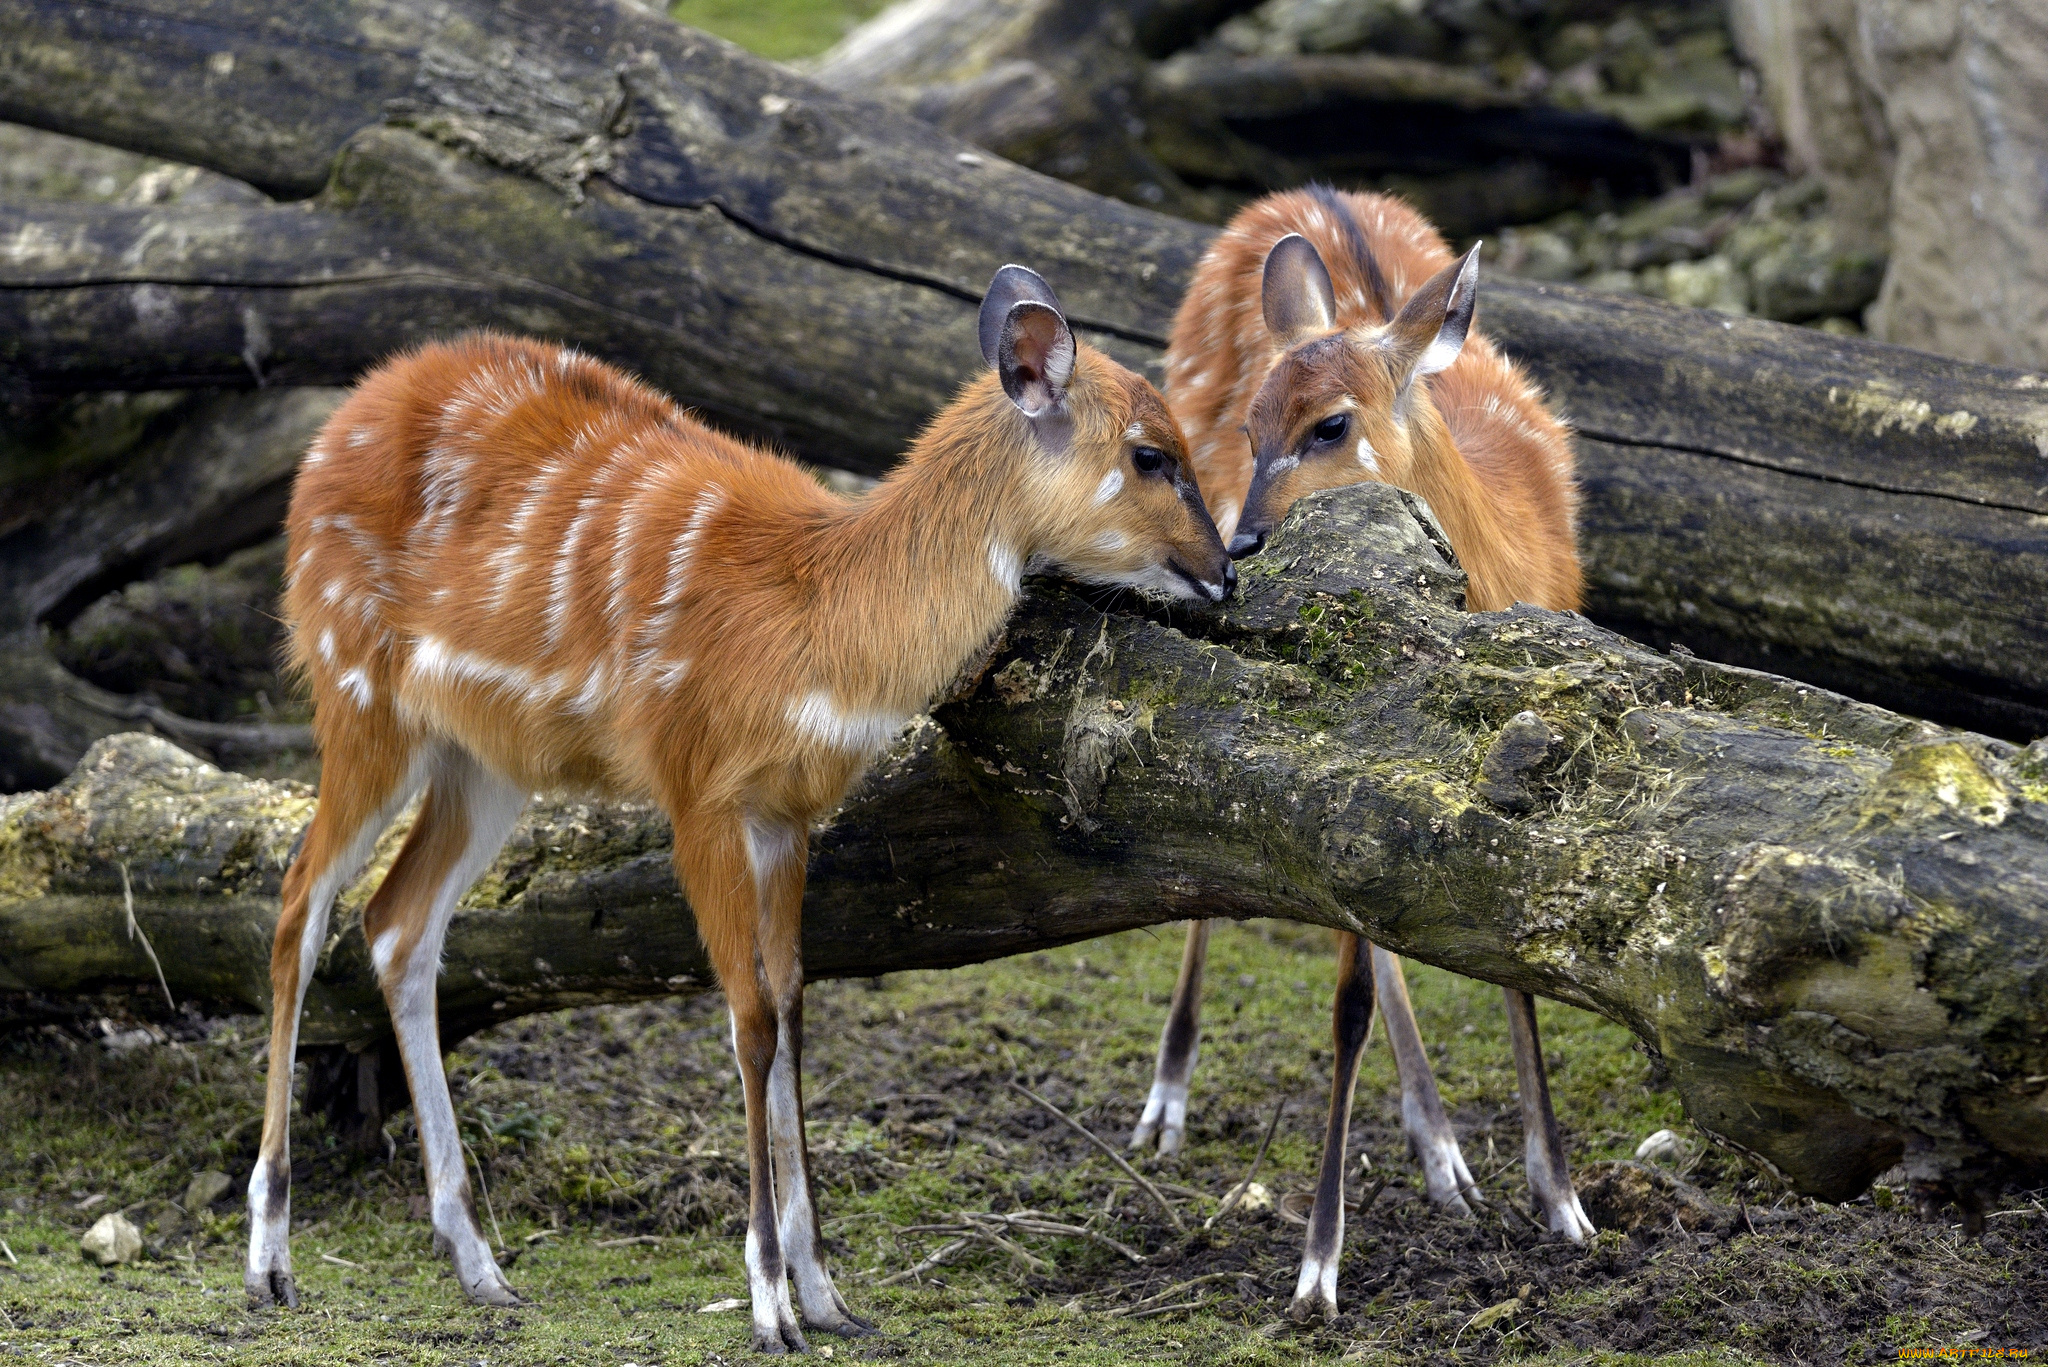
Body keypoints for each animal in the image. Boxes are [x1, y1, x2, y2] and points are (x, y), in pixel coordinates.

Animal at [239, 270, 1228, 1360]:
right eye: (1149, 452)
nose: (1229, 565)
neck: (818, 617)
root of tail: (332, 432)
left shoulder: (786, 816)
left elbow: (791, 1006)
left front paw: (829, 1295)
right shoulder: (698, 794)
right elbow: (748, 1018)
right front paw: (769, 1304)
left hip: (485, 760)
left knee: (397, 922)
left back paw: (482, 1266)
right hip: (359, 698)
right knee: (298, 900)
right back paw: (271, 1258)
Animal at [1146, 187, 1589, 1319]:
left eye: (1331, 424)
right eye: (1253, 424)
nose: (1241, 544)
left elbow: (1507, 961)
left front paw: (1562, 1199)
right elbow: (1342, 1001)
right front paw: (1317, 1268)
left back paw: (1444, 1155)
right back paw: (1166, 1100)